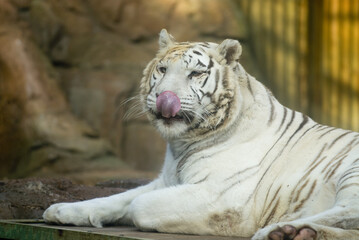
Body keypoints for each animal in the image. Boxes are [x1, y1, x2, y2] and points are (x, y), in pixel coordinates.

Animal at [43, 30, 359, 240]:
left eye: (195, 74)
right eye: (162, 69)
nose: (163, 97)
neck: (183, 143)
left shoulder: (222, 197)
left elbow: (138, 205)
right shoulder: (166, 180)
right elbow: (116, 198)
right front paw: (60, 210)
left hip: (351, 174)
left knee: (347, 212)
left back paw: (278, 230)